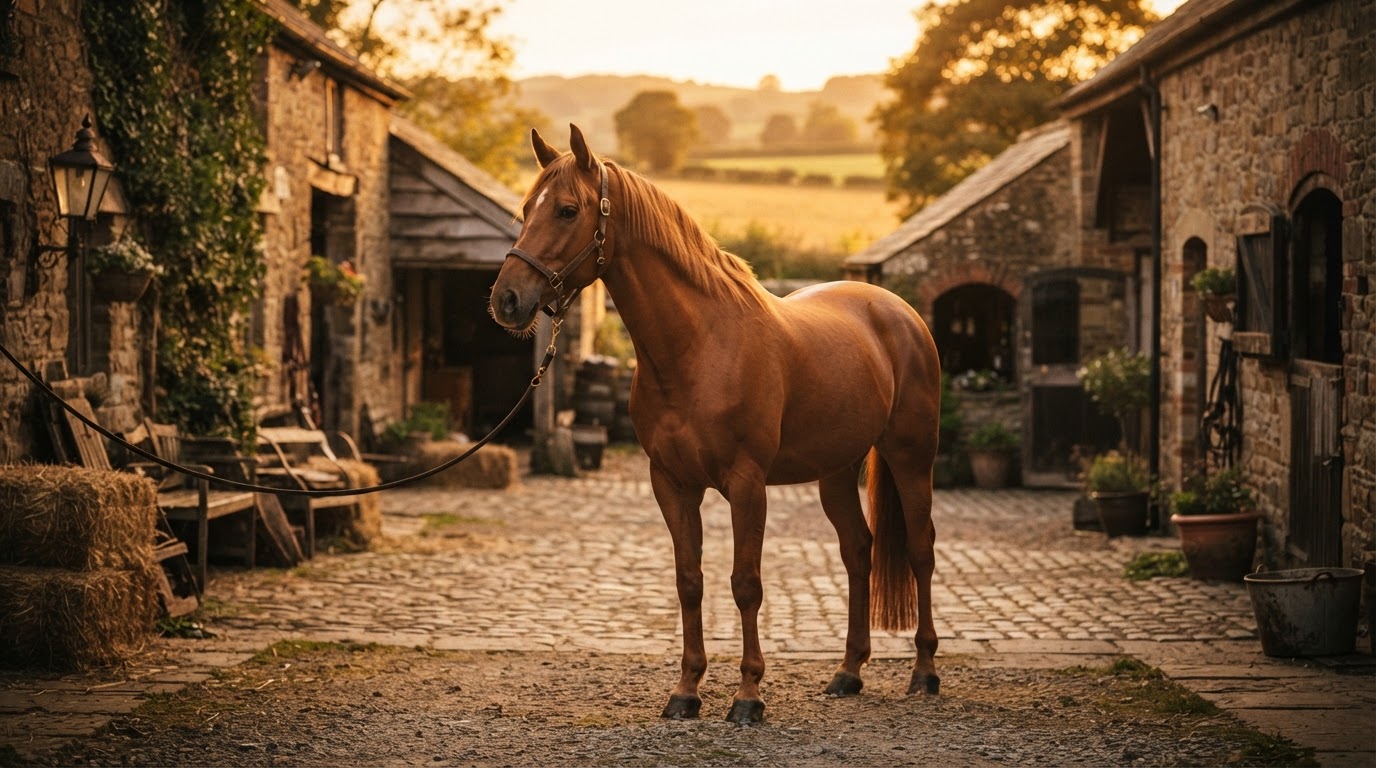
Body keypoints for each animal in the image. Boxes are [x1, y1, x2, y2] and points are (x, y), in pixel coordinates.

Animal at [489, 125, 942, 724]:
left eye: (567, 210)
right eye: (525, 210)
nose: (507, 300)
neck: (698, 347)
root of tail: (898, 311)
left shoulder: (747, 485)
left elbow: (745, 584)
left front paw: (748, 697)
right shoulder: (672, 484)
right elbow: (690, 583)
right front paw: (686, 692)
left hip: (912, 458)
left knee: (920, 549)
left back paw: (925, 673)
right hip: (837, 471)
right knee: (857, 551)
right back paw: (847, 673)